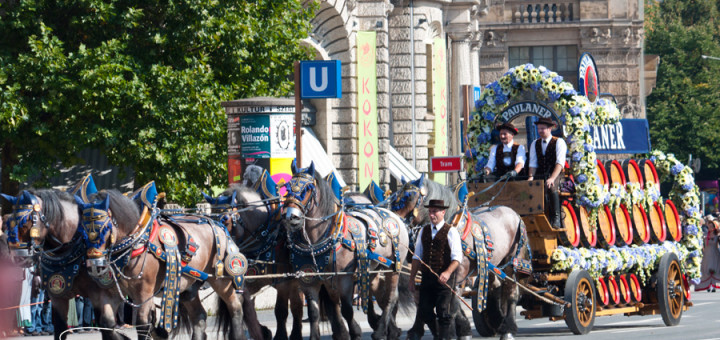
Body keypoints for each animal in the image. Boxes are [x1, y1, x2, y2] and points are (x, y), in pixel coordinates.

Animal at [0, 189, 127, 340]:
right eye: (9, 224)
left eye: (26, 223)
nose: (18, 258)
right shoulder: (58, 297)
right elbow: (60, 329)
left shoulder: (100, 295)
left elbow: (107, 327)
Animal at [282, 162, 410, 340]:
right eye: (287, 189)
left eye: (307, 189)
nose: (290, 217)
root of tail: (394, 215)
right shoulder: (310, 280)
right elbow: (314, 312)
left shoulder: (345, 278)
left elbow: (347, 310)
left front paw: (355, 332)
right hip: (372, 270)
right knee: (379, 294)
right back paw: (390, 329)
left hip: (393, 268)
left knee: (390, 297)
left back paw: (381, 330)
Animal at [390, 175, 532, 340]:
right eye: (395, 198)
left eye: (408, 197)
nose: (394, 224)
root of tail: (515, 214)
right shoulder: (426, 275)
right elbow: (429, 303)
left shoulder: (457, 275)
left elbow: (451, 304)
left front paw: (458, 331)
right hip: (494, 265)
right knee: (496, 287)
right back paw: (498, 320)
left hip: (512, 262)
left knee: (511, 292)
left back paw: (507, 329)